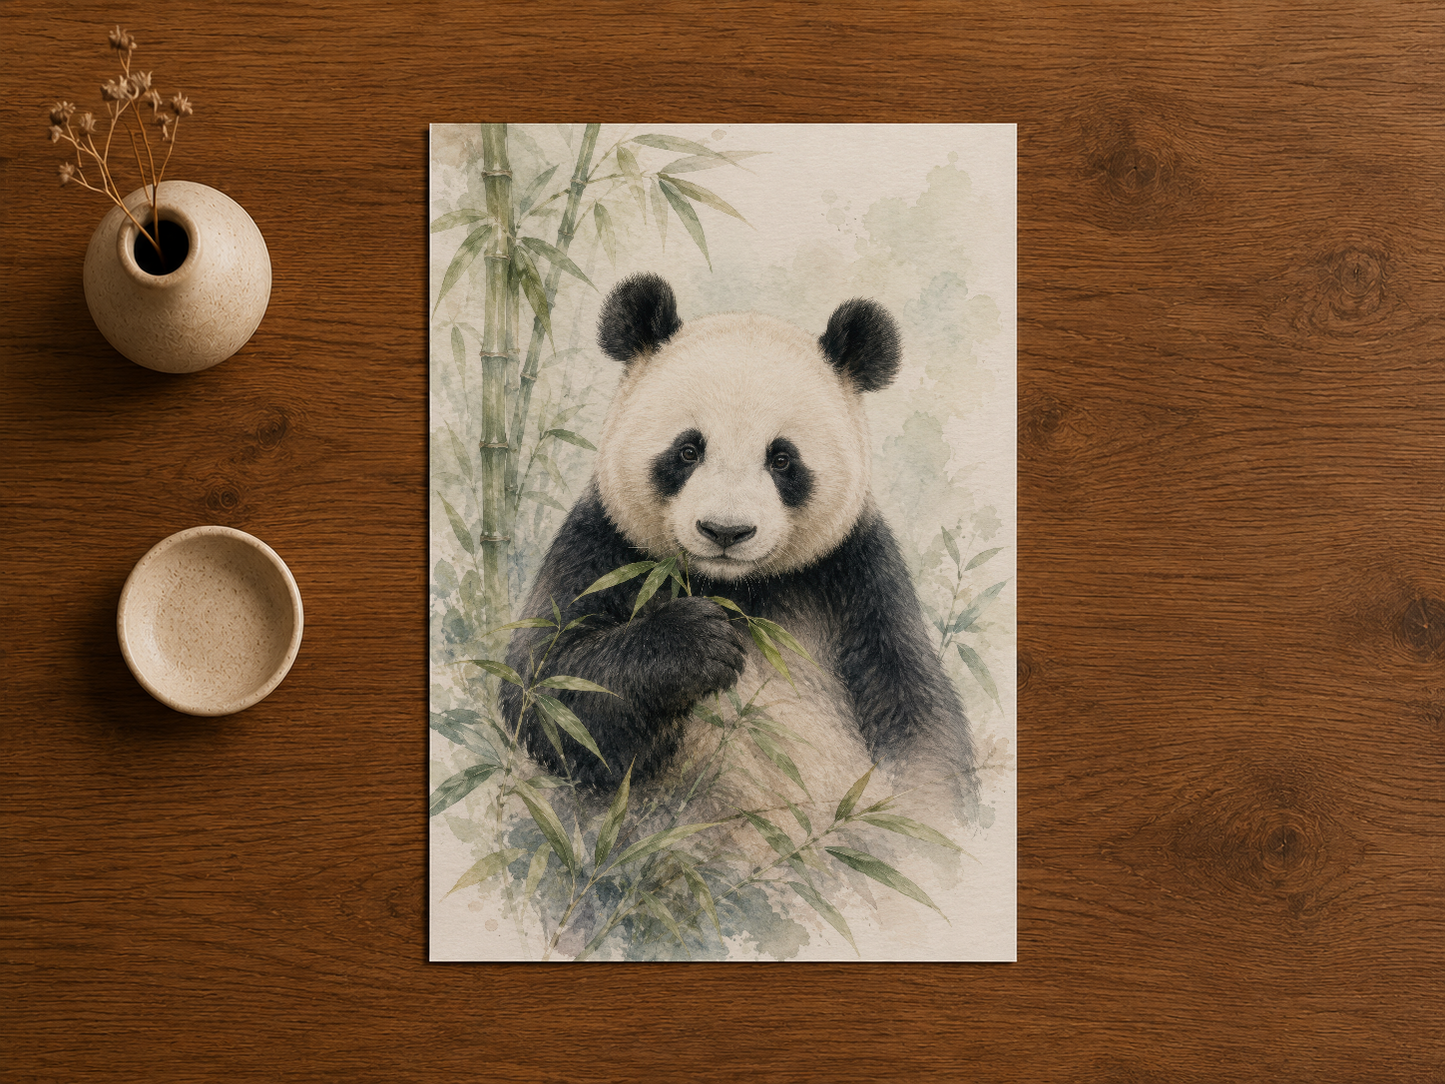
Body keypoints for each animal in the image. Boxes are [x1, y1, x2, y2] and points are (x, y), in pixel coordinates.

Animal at [501, 273, 976, 818]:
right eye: (688, 450)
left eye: (783, 459)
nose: (725, 531)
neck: (737, 587)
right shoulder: (604, 546)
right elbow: (549, 691)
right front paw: (697, 640)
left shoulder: (857, 573)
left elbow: (917, 718)